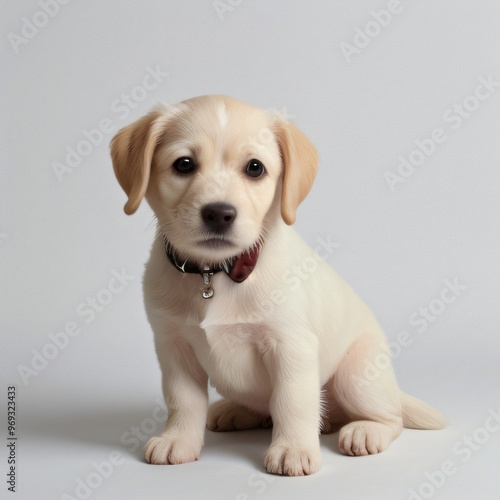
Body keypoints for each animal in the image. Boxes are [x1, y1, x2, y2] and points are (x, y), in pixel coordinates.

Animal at [111, 94, 448, 476]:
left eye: (255, 168)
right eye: (184, 164)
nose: (219, 213)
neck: (217, 274)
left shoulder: (291, 345)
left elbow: (292, 401)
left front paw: (293, 449)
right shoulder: (173, 347)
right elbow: (183, 400)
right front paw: (178, 440)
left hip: (356, 378)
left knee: (390, 418)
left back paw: (365, 431)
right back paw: (236, 410)